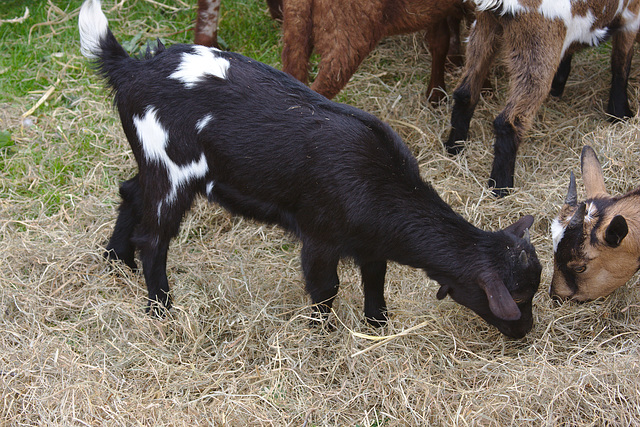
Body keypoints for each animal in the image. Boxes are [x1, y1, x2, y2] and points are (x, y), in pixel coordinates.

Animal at [444, 0, 640, 197]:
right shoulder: (632, 16)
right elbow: (621, 64)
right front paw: (621, 114)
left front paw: (558, 88)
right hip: (537, 47)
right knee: (507, 121)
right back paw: (501, 187)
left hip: (484, 29)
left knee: (465, 93)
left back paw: (454, 148)